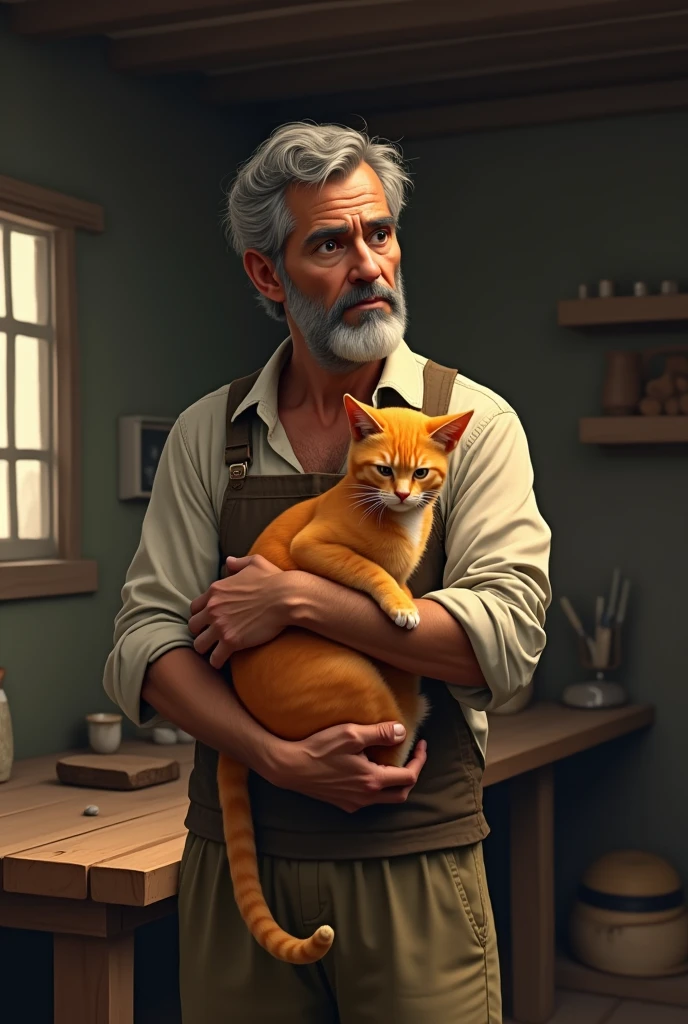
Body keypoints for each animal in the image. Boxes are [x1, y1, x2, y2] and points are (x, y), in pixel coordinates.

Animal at [216, 395, 473, 962]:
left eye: (422, 472)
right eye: (384, 469)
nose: (403, 495)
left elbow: (399, 577)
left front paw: (408, 599)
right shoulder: (315, 547)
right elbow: (373, 572)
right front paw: (401, 607)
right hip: (359, 686)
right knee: (391, 752)